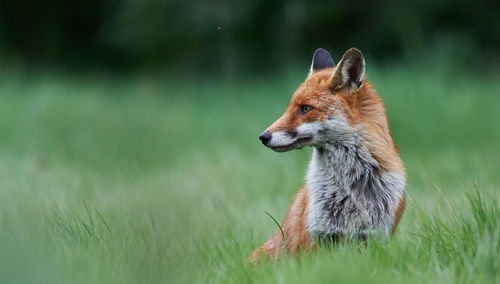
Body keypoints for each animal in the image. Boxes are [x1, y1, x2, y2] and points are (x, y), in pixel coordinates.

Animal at [250, 47, 406, 262]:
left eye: (305, 108)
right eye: (289, 108)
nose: (263, 137)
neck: (348, 190)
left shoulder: (374, 238)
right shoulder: (317, 237)